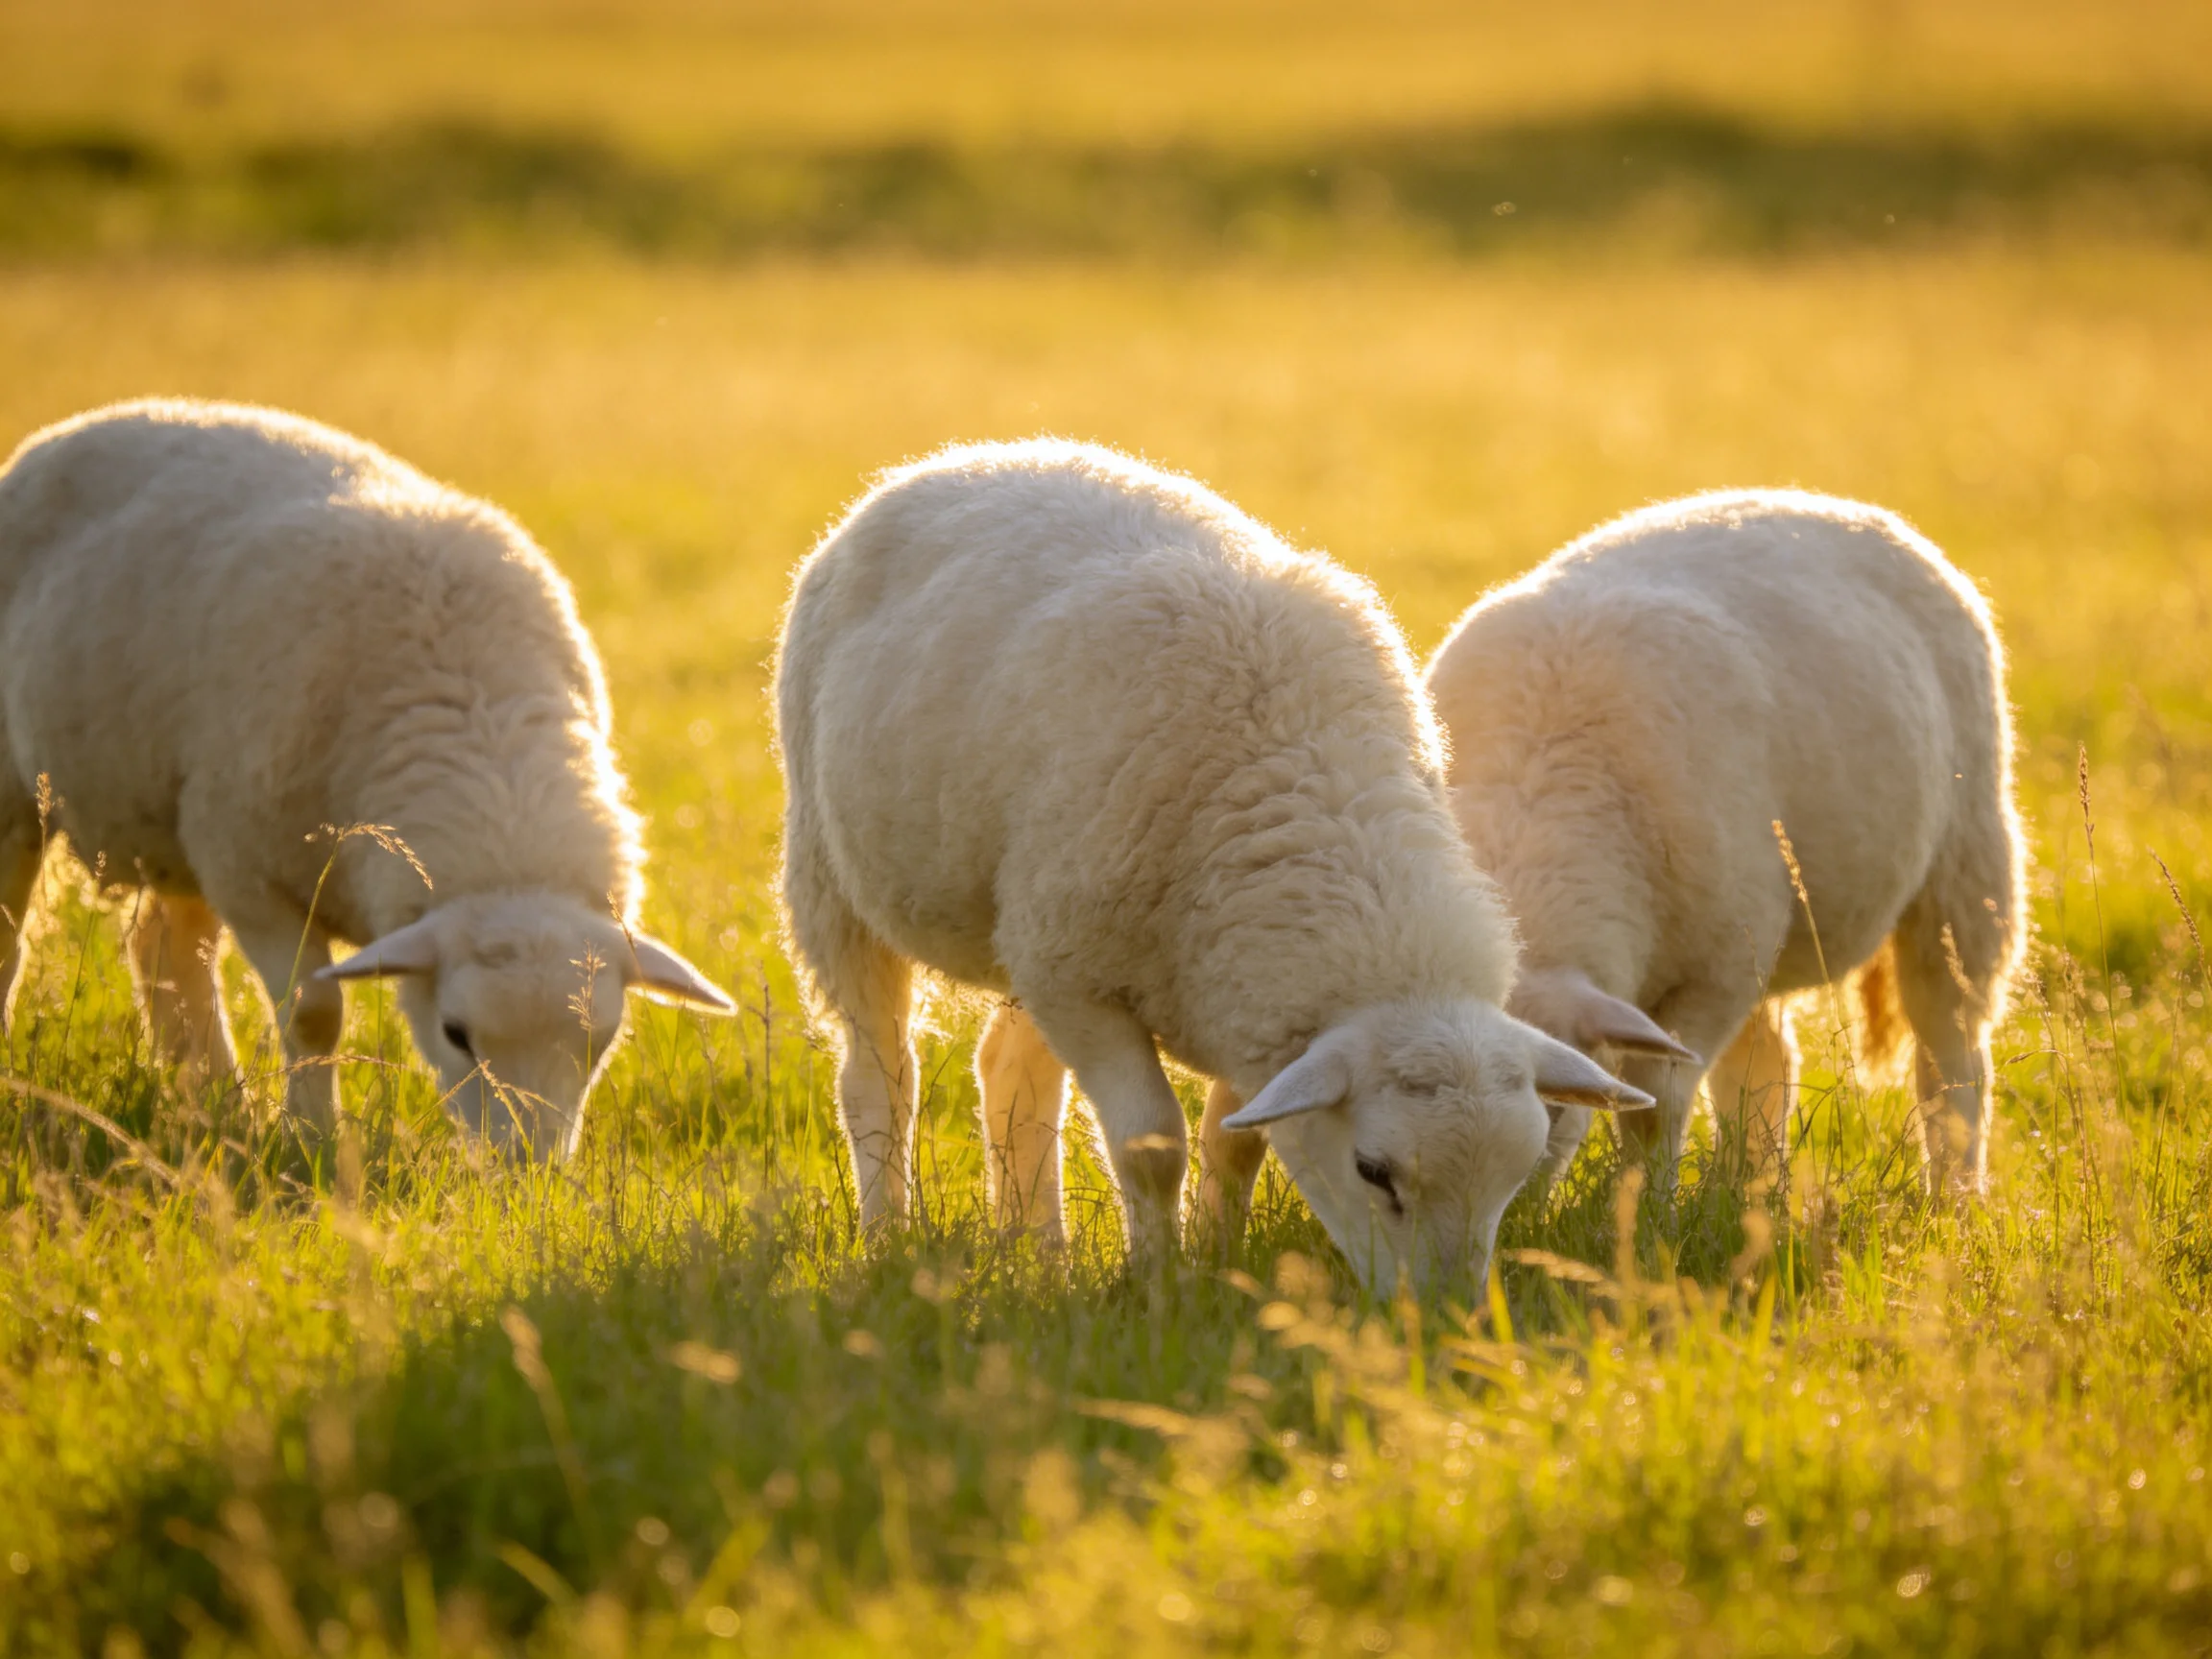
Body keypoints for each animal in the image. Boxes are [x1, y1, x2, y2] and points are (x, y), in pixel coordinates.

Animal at [0, 398, 734, 1156]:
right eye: (455, 1034)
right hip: (21, 795)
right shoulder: (246, 871)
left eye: (600, 1042)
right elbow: (314, 1013)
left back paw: (213, 1104)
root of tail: (94, 419)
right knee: (13, 945)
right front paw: (311, 1138)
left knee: (166, 954)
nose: (527, 1171)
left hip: (168, 817)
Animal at [775, 438, 1651, 1290]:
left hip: (1022, 923)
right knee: (881, 1075)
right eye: (1374, 1171)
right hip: (835, 883)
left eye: (1517, 1176)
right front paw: (1159, 1283)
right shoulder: (1086, 985)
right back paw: (890, 1235)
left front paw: (1217, 1260)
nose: (1444, 1319)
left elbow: (1237, 1142)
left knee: (1011, 1073)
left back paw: (1039, 1253)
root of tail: (956, 459)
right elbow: (1152, 1147)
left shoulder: (1247, 996)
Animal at [1425, 490, 2026, 1195]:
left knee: (1951, 1055)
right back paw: (1754, 1186)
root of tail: (1828, 500)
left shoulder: (1716, 974)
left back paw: (1953, 1196)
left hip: (1965, 871)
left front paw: (1647, 1203)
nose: (1509, 1219)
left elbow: (1656, 1101)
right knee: (1769, 1061)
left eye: (1561, 1107)